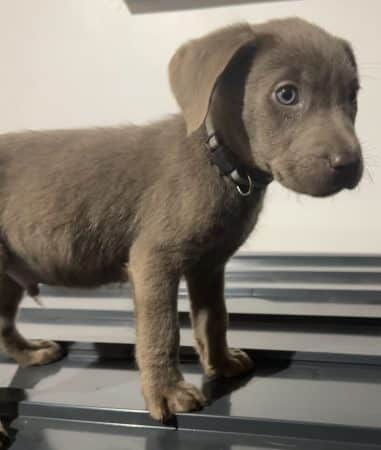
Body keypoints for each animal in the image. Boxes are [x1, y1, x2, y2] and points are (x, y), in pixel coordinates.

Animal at [0, 15, 362, 420]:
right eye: (286, 94)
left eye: (352, 96)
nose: (350, 164)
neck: (219, 164)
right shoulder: (153, 261)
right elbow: (162, 330)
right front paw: (166, 391)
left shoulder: (209, 265)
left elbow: (214, 318)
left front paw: (221, 364)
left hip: (7, 277)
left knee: (3, 326)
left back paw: (29, 353)